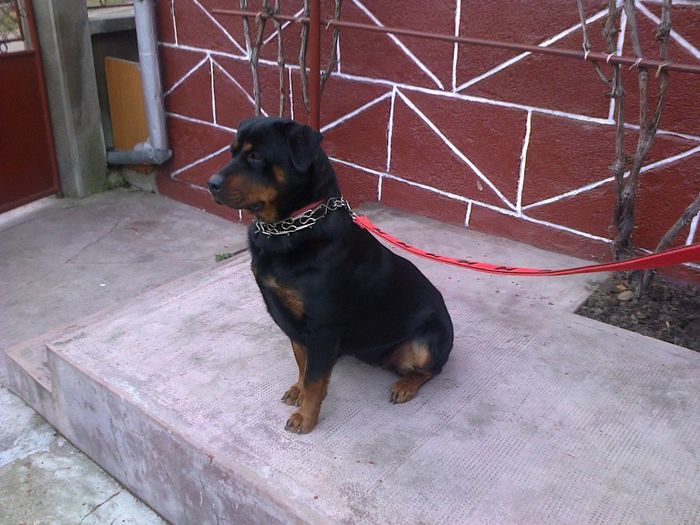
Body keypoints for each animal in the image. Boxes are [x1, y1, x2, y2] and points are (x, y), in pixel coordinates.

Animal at [208, 117, 453, 434]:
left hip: (427, 341)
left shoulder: (322, 326)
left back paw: (406, 385)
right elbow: (304, 365)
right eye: (232, 151)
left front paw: (306, 417)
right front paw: (299, 390)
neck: (288, 228)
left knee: (431, 369)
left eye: (256, 155)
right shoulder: (294, 323)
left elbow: (315, 377)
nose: (211, 184)